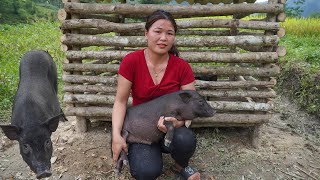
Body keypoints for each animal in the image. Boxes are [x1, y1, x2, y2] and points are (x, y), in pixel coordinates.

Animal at [0, 50, 66, 179]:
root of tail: (37, 50)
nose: (44, 172)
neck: (31, 121)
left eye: (47, 142)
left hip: (55, 76)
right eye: (25, 146)